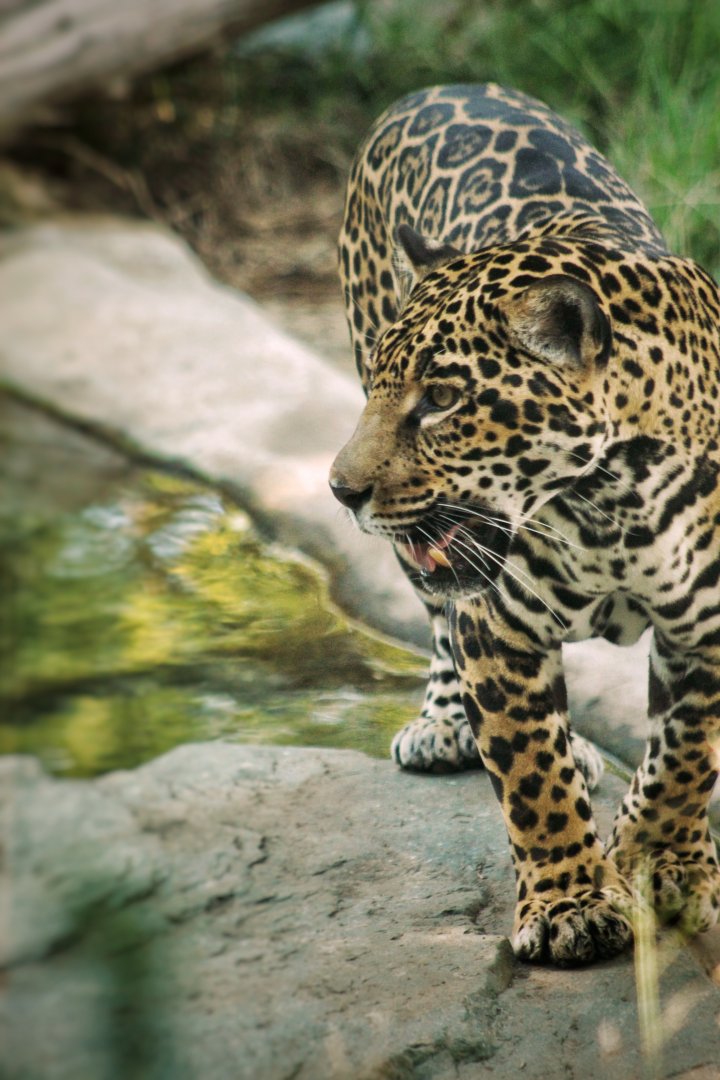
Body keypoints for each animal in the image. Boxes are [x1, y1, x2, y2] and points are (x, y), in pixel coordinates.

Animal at [329, 83, 720, 965]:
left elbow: (687, 753)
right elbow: (528, 771)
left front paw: (662, 856)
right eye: (382, 390)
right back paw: (451, 728)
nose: (340, 490)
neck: (615, 504)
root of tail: (438, 86)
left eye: (443, 399)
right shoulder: (498, 625)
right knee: (439, 617)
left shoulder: (713, 625)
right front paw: (570, 902)